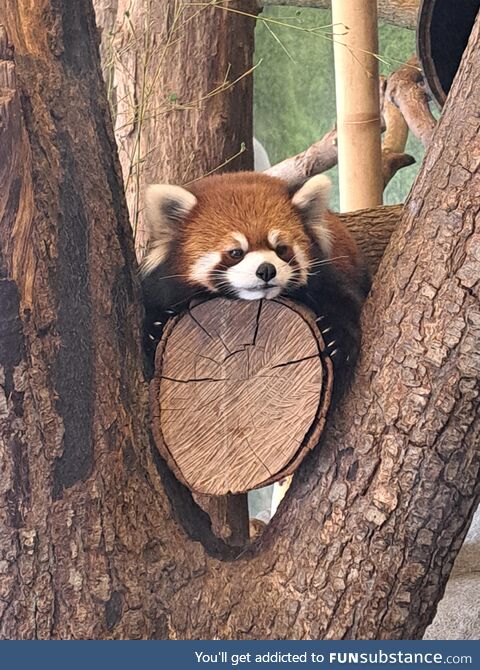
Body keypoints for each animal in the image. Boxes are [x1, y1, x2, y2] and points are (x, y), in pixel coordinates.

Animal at [140, 175, 372, 404]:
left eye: (281, 249)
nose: (266, 270)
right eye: (235, 252)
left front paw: (336, 337)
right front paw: (156, 328)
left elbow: (343, 302)